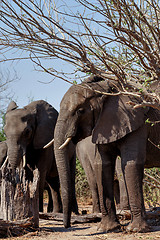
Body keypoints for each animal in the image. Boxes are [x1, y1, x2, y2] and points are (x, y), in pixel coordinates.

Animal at [54, 75, 160, 232]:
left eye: (80, 111)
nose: (68, 226)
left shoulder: (137, 122)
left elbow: (130, 163)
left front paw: (135, 230)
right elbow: (102, 164)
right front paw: (107, 229)